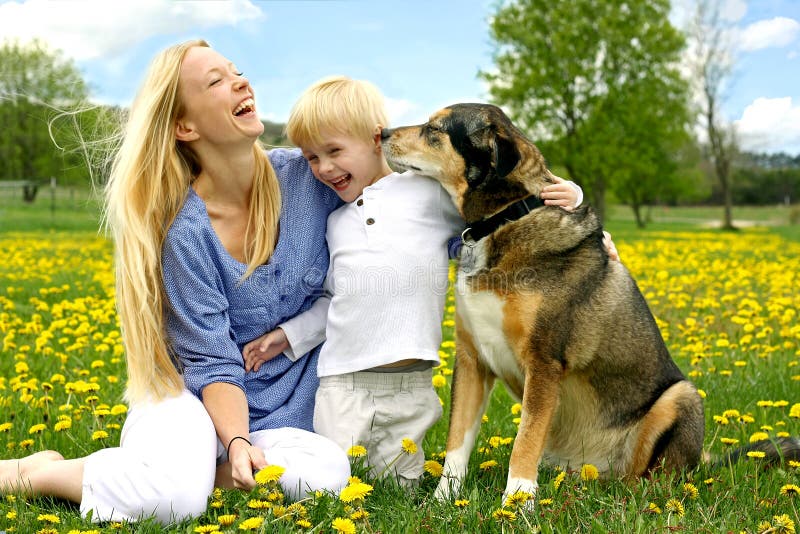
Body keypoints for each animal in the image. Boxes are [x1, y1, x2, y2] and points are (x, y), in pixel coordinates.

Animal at [382, 101, 800, 506]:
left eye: (435, 129)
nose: (382, 133)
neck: (506, 219)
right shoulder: (472, 360)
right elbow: (458, 439)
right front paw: (444, 500)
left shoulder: (543, 363)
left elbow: (525, 439)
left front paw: (517, 501)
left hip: (680, 398)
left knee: (655, 478)